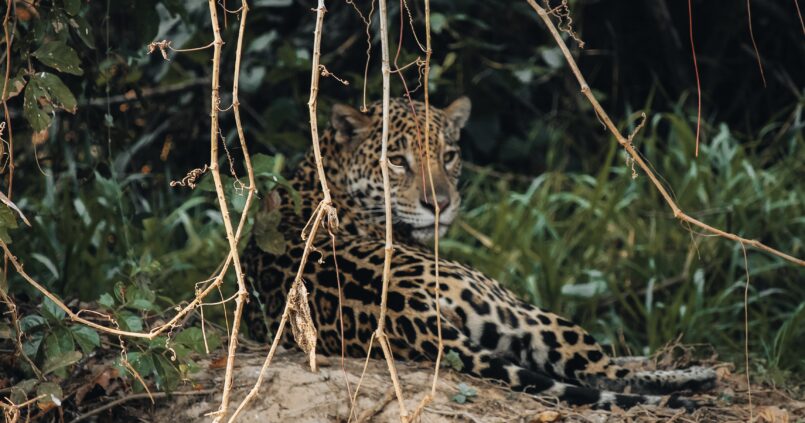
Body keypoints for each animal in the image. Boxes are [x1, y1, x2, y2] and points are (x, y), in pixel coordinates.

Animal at [242, 97, 716, 410]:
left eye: (450, 155)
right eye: (396, 161)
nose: (440, 204)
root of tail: (408, 312)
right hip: (518, 307)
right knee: (605, 371)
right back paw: (696, 377)